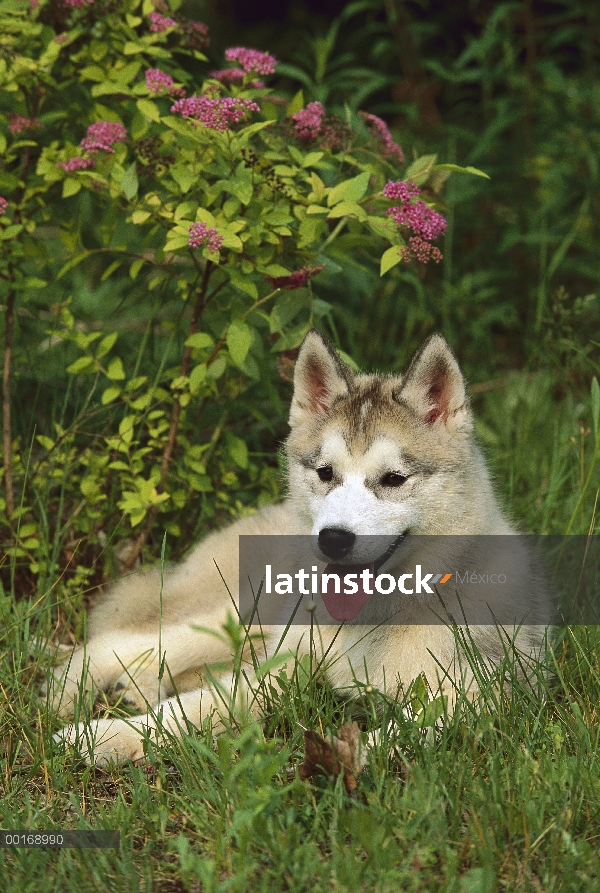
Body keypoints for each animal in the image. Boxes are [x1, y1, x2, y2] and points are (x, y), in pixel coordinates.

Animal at [49, 332, 552, 764]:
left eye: (393, 479)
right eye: (326, 472)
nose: (333, 539)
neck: (375, 622)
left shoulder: (479, 698)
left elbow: (395, 735)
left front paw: (336, 764)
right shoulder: (279, 669)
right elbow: (190, 709)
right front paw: (100, 738)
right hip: (235, 609)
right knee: (117, 643)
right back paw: (66, 694)